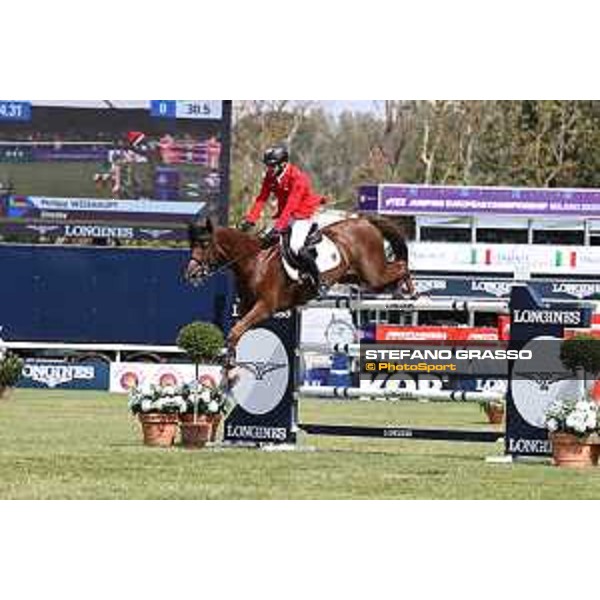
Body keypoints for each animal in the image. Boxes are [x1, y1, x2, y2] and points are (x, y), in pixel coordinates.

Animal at [185, 214, 414, 352]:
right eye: (192, 244)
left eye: (204, 244)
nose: (190, 274)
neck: (255, 261)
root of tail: (365, 221)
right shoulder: (245, 307)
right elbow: (236, 331)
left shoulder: (265, 307)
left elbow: (235, 332)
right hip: (356, 276)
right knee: (392, 272)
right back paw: (399, 291)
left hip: (373, 272)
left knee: (401, 265)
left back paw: (410, 292)